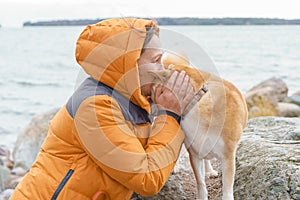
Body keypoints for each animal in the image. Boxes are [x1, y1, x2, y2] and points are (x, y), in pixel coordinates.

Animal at [151, 53, 247, 200]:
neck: (197, 101)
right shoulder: (194, 154)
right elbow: (200, 183)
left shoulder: (228, 157)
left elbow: (227, 188)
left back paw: (209, 170)